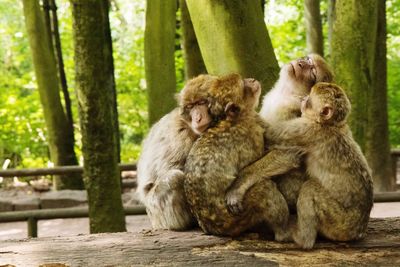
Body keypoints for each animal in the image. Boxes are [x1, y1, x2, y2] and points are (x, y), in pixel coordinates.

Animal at [138, 75, 219, 230]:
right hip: (157, 212)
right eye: (190, 106)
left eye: (201, 102)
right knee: (174, 178)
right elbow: (171, 169)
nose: (197, 117)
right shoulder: (178, 136)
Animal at [183, 74, 290, 241]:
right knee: (264, 188)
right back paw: (284, 233)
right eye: (243, 84)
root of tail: (211, 228)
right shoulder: (251, 135)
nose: (251, 79)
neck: (230, 119)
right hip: (234, 220)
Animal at [225, 54, 334, 214]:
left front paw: (239, 184)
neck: (289, 94)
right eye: (307, 60)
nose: (300, 63)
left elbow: (288, 153)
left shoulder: (294, 114)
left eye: (313, 72)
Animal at [228, 82, 376, 250]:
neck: (330, 124)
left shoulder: (307, 130)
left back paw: (302, 239)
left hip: (340, 222)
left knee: (310, 189)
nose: (304, 99)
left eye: (309, 99)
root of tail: (360, 229)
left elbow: (269, 135)